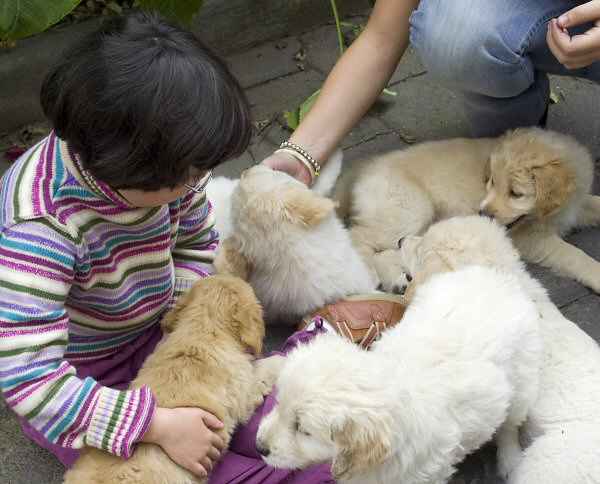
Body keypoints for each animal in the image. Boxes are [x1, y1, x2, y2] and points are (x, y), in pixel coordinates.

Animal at [344, 126, 600, 294]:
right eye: (491, 181)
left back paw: (398, 280)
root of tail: (364, 167)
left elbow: (595, 203)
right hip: (409, 209)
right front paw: (596, 274)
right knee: (359, 237)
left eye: (516, 193)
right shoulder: (529, 237)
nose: (483, 214)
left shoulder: (577, 205)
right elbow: (573, 254)